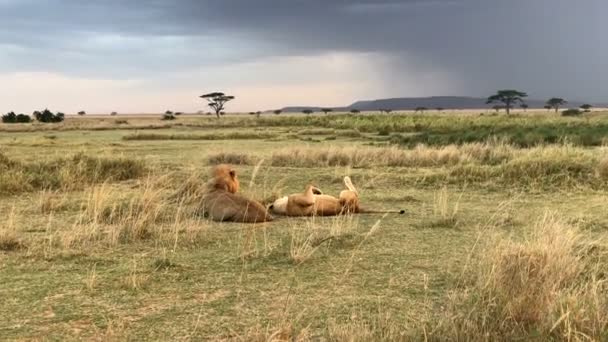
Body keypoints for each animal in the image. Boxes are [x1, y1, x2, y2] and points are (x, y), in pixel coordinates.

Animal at [270, 176, 404, 216]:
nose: (282, 196)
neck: (284, 207)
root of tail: (357, 209)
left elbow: (310, 186)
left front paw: (318, 191)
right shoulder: (306, 199)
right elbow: (308, 185)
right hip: (344, 196)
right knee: (355, 192)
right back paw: (346, 178)